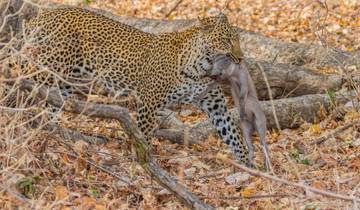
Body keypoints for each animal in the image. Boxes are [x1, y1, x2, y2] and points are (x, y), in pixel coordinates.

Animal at [15, 6, 250, 164]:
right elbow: (144, 136)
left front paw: (251, 167)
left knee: (48, 108)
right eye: (227, 40)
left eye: (238, 39)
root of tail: (43, 15)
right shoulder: (149, 103)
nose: (241, 58)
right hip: (47, 70)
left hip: (64, 84)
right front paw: (143, 165)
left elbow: (233, 135)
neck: (201, 66)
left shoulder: (216, 107)